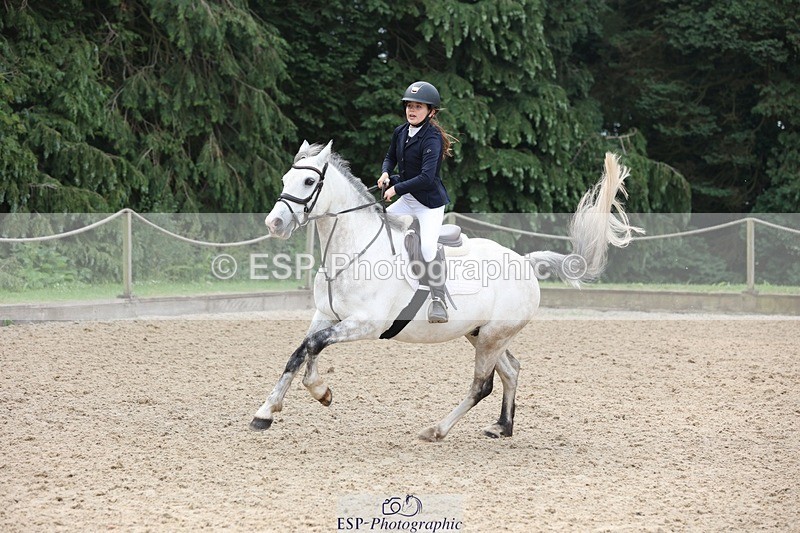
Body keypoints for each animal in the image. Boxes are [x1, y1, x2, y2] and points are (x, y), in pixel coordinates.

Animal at [253, 140, 642, 441]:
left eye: (308, 180)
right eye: (286, 178)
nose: (274, 223)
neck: (353, 250)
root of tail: (526, 263)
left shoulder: (366, 324)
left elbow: (314, 346)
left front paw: (320, 392)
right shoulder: (325, 315)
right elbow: (300, 350)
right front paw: (267, 411)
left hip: (492, 336)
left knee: (482, 385)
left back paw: (437, 430)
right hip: (482, 333)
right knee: (511, 370)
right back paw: (502, 427)